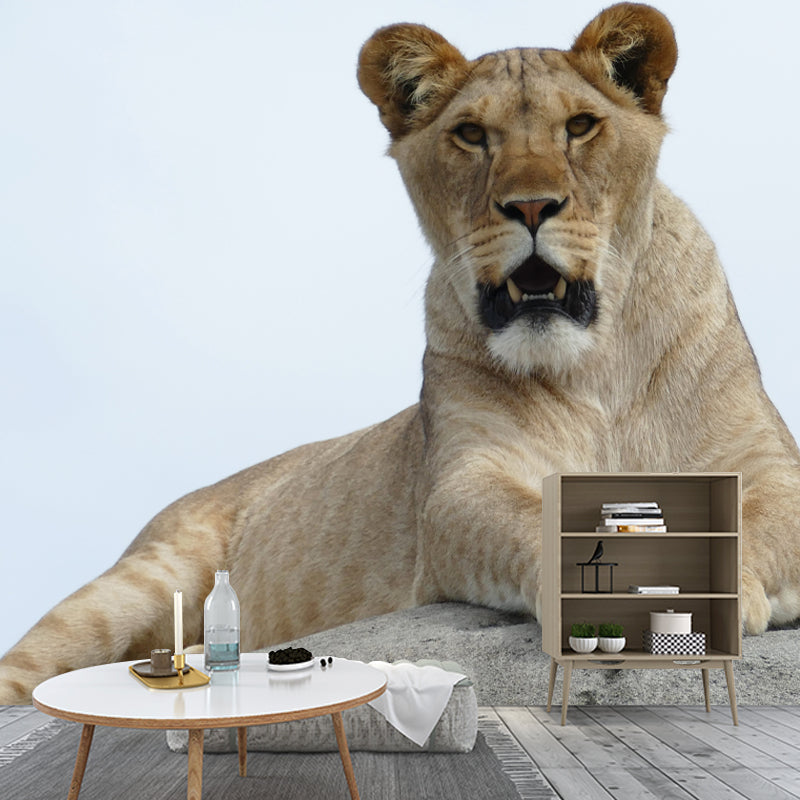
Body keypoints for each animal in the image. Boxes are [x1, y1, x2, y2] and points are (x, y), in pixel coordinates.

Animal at [2, 2, 799, 704]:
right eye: (471, 134)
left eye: (580, 126)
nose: (531, 207)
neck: (594, 361)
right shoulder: (460, 483)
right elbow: (531, 522)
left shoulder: (769, 463)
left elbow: (759, 522)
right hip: (138, 582)